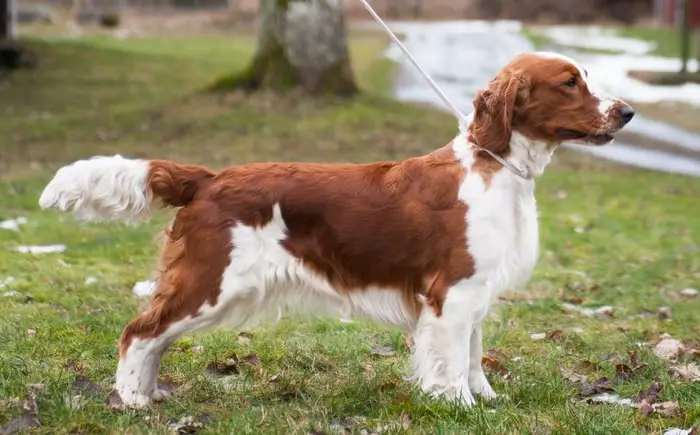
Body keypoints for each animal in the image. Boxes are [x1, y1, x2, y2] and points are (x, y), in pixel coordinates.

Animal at [37, 51, 636, 408]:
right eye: (570, 82)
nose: (628, 112)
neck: (498, 167)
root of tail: (206, 179)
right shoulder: (453, 292)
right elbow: (451, 359)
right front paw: (459, 407)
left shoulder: (475, 293)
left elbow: (473, 355)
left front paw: (485, 400)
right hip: (211, 282)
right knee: (138, 332)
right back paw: (133, 402)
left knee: (153, 337)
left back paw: (149, 394)